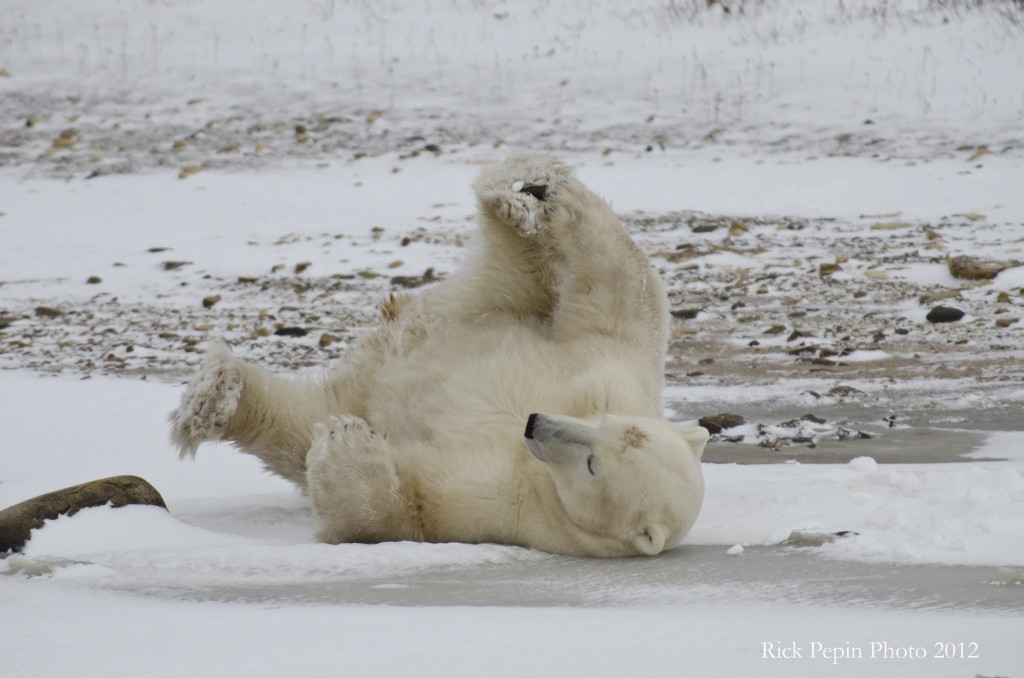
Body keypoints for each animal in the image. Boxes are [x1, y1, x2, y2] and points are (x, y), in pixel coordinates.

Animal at [169, 155, 712, 557]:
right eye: (605, 421)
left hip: (401, 361)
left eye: (594, 466)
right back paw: (520, 194)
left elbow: (404, 509)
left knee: (298, 424)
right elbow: (622, 299)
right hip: (489, 309)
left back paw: (217, 399)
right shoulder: (608, 372)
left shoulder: (504, 508)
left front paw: (347, 445)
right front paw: (553, 193)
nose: (535, 422)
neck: (536, 469)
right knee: (526, 266)